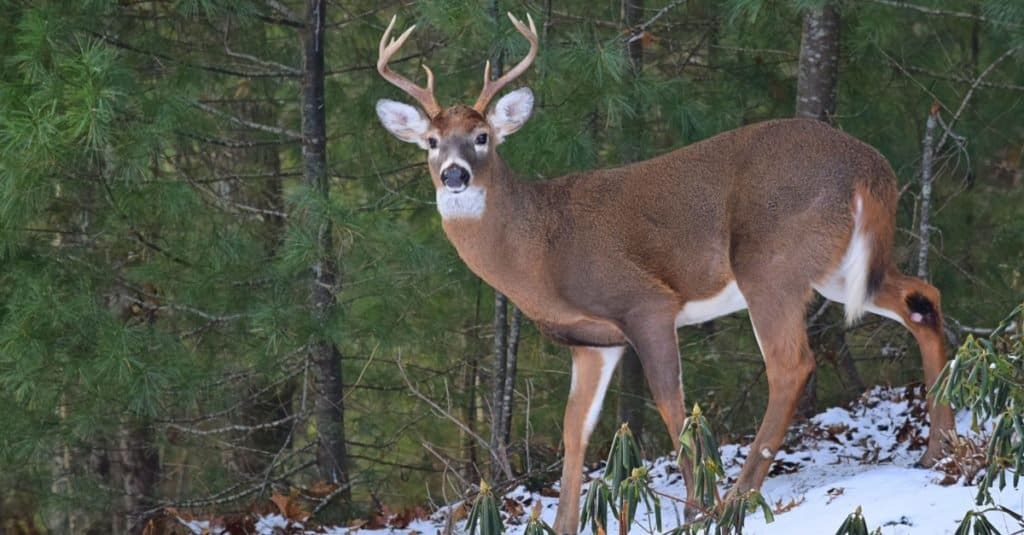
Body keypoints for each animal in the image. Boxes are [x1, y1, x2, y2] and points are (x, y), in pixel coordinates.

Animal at [378, 13, 958, 532]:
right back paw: (940, 449)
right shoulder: (593, 342)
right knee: (921, 298)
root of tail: (872, 167)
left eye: (481, 136)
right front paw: (566, 524)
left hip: (769, 261)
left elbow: (672, 406)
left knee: (790, 365)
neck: (540, 247)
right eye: (431, 142)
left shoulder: (645, 303)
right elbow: (574, 430)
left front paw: (697, 508)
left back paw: (737, 499)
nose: (455, 174)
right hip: (836, 265)